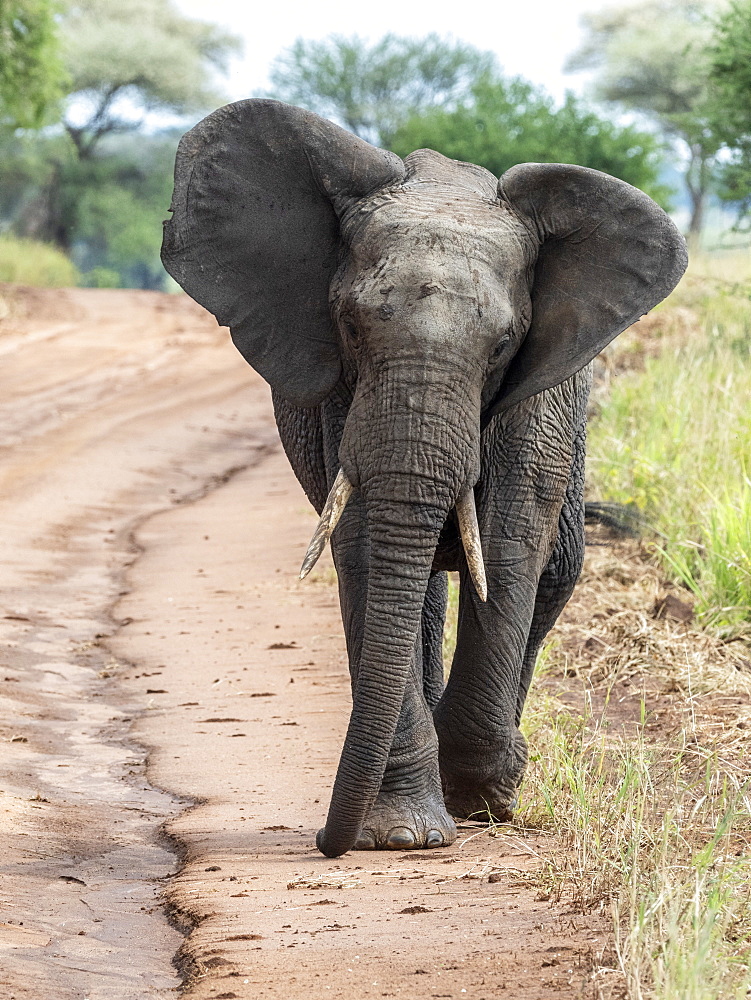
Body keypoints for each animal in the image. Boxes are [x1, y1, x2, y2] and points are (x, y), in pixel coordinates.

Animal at [162, 97, 692, 856]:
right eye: (350, 326)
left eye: (503, 344)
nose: (325, 840)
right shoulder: (341, 395)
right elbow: (360, 540)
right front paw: (403, 833)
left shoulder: (536, 396)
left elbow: (508, 541)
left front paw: (485, 796)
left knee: (554, 570)